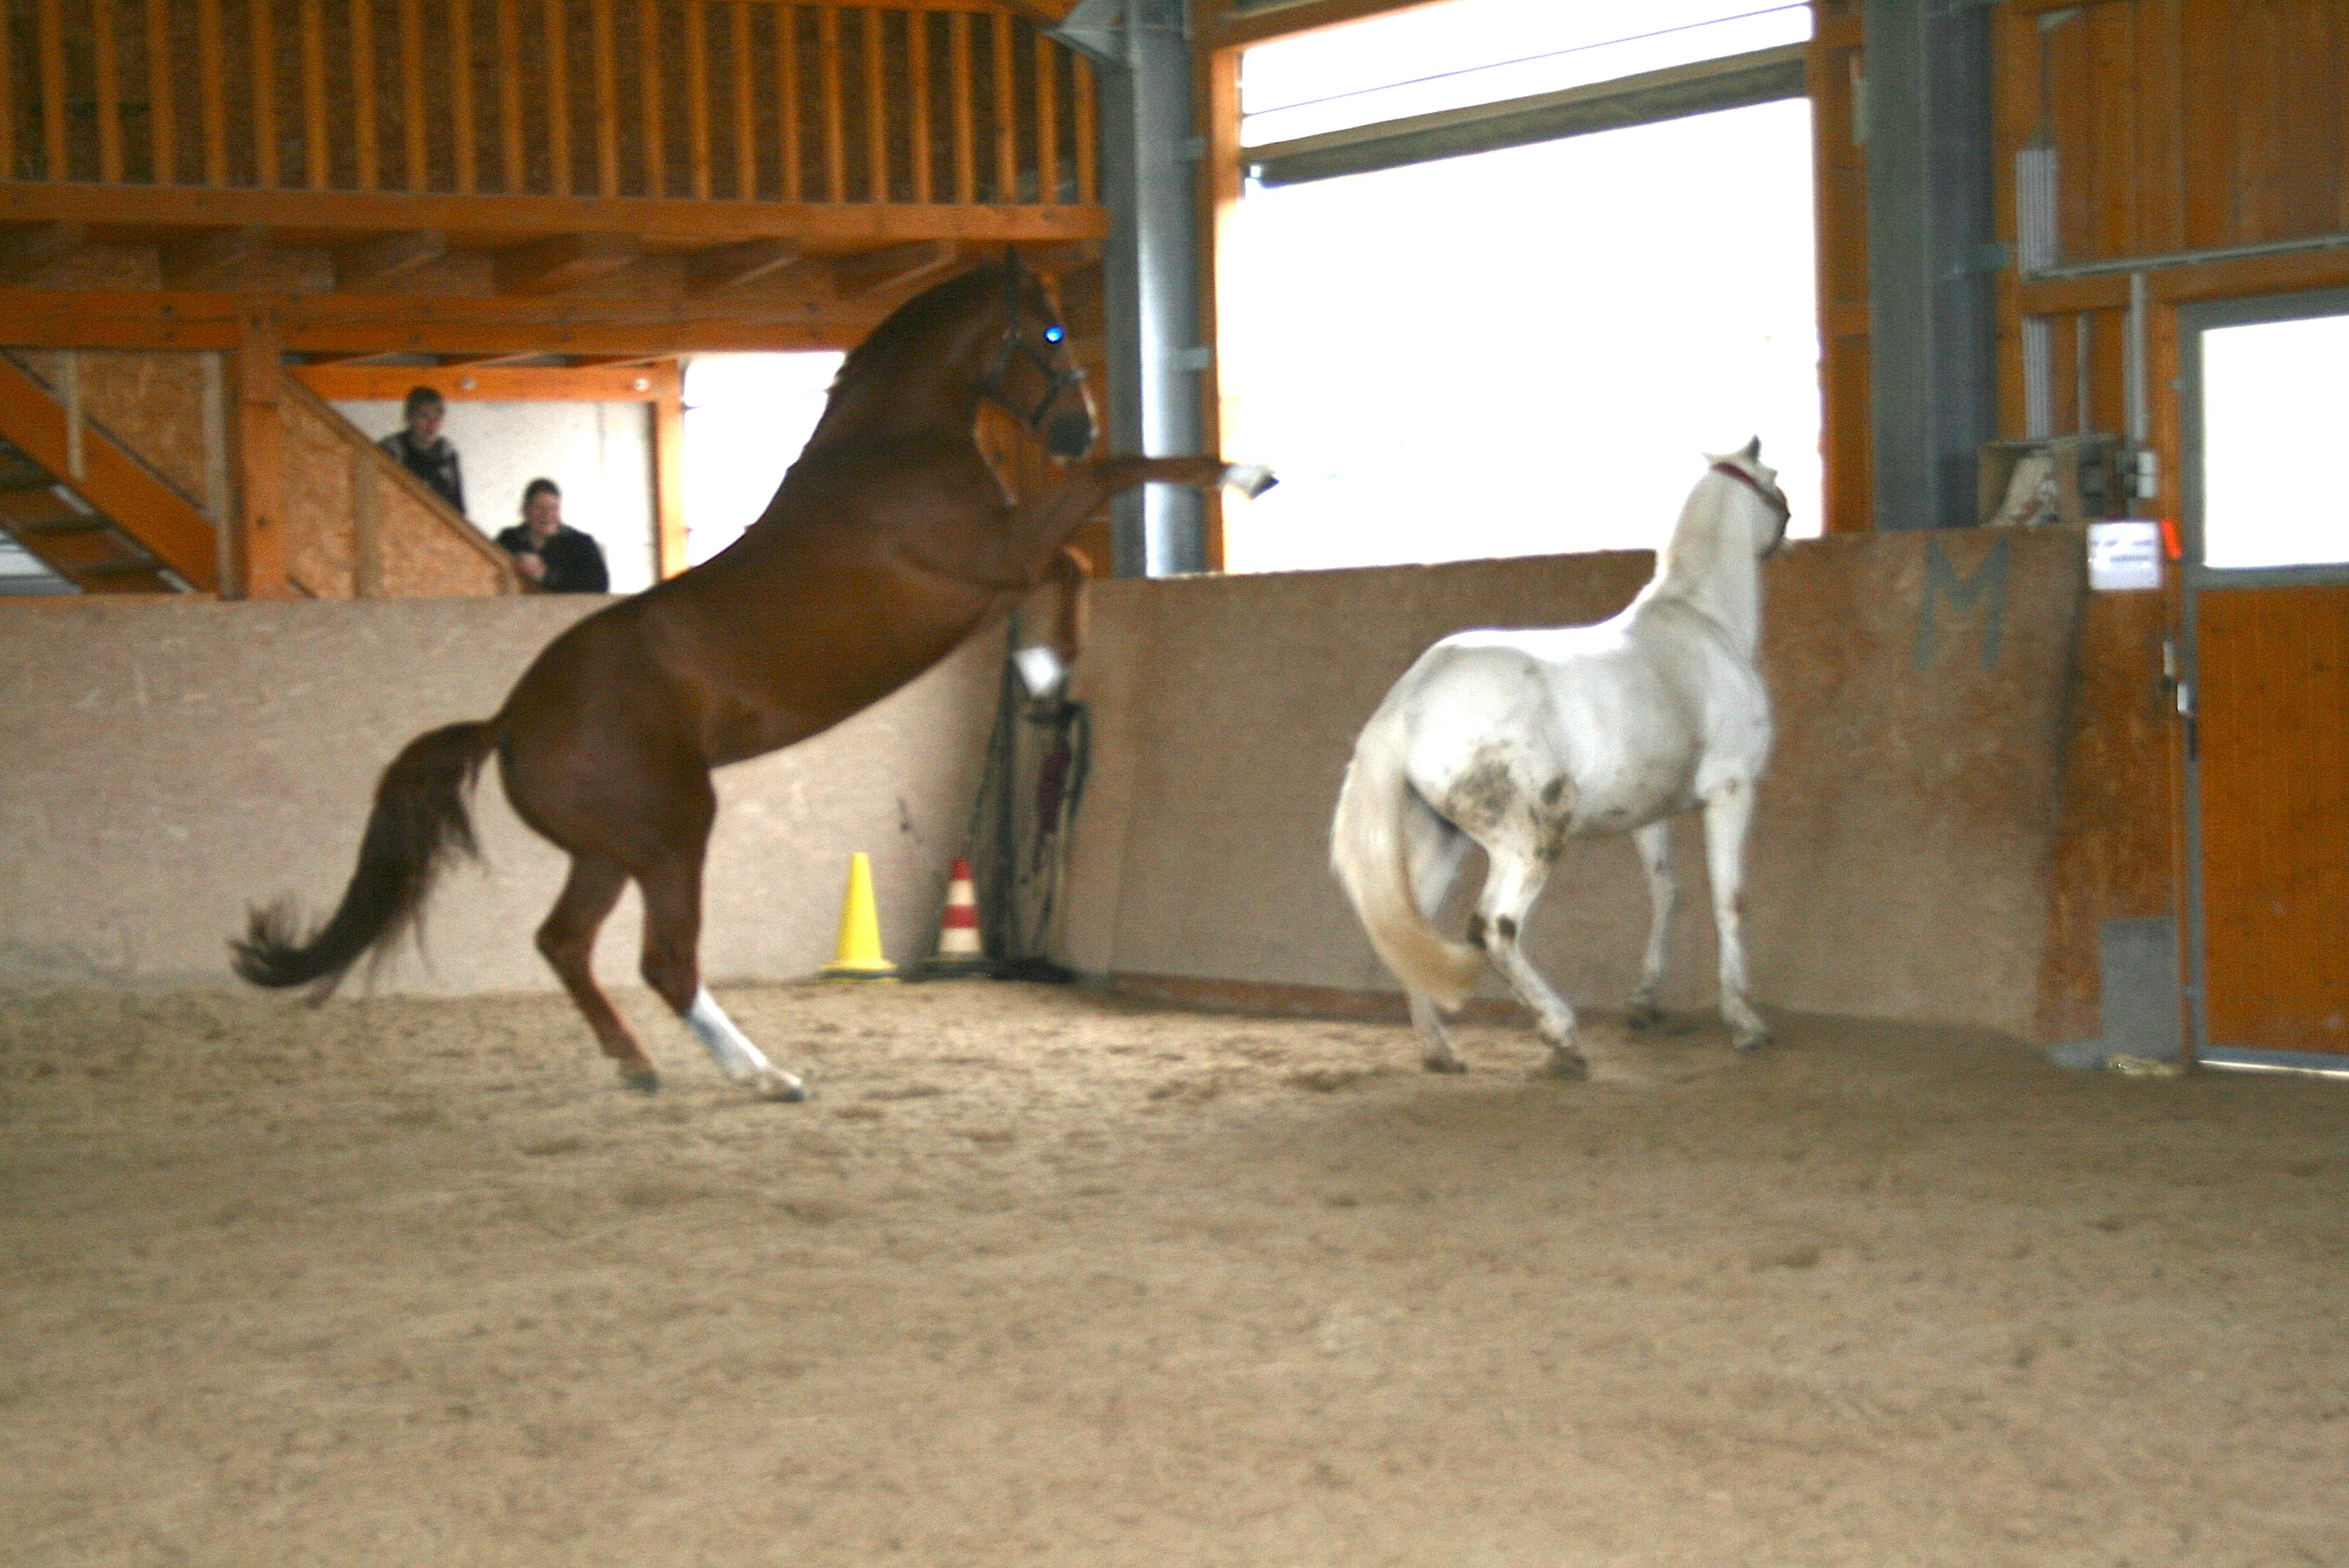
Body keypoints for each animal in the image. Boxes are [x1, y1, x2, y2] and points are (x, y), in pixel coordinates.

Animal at [229, 257, 1277, 1098]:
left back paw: (639, 1065)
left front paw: (1043, 666)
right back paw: (764, 1074)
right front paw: (1241, 478)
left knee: (565, 943)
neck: (887, 449)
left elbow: (1071, 560)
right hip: (671, 834)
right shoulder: (997, 551)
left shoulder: (1000, 568)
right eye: (1052, 332)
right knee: (664, 961)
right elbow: (1108, 491)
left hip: (610, 850)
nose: (1070, 427)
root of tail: (509, 719)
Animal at [1334, 441, 1785, 1079]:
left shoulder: (1647, 813)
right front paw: (1744, 1023)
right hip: (1529, 841)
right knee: (1494, 928)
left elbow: (1666, 892)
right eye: (1775, 479)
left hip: (1445, 839)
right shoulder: (1731, 789)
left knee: (1410, 930)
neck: (1701, 621)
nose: (1785, 529)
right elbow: (1730, 900)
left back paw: (1440, 1049)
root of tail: (1406, 704)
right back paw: (1562, 1037)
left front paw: (1645, 1002)